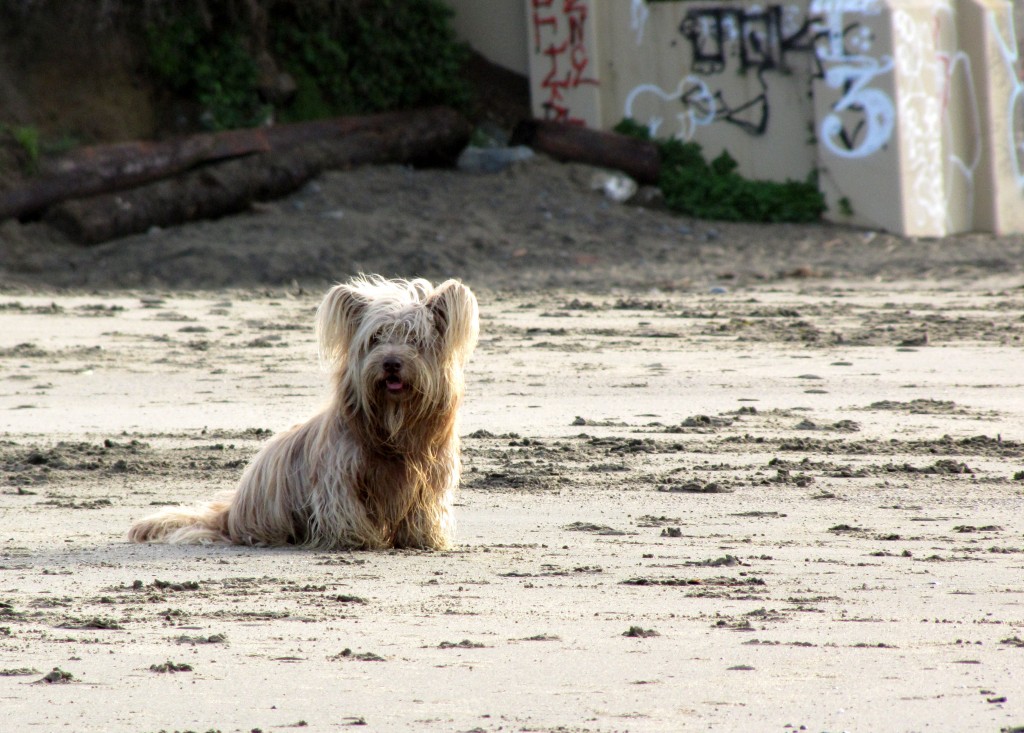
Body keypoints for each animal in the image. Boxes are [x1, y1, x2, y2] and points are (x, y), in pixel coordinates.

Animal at [128, 276, 479, 548]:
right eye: (375, 339)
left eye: (415, 340)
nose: (391, 363)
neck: (394, 416)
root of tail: (230, 513)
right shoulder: (339, 471)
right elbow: (343, 504)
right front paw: (356, 539)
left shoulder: (429, 473)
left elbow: (422, 507)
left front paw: (422, 539)